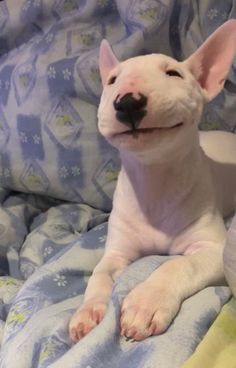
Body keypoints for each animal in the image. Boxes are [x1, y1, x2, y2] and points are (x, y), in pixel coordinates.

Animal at [69, 19, 236, 342]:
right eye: (112, 80)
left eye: (173, 73)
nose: (127, 102)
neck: (153, 179)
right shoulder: (118, 251)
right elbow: (99, 273)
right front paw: (87, 311)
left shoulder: (213, 248)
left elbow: (179, 263)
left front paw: (145, 304)